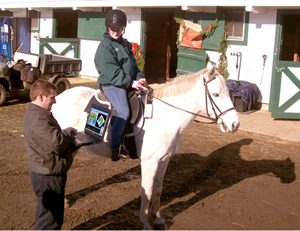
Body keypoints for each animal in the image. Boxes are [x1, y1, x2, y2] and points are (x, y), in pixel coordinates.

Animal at [51, 66, 239, 230]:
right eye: (216, 94)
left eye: (229, 93)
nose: (235, 124)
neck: (164, 117)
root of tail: (59, 97)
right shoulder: (150, 162)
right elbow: (147, 192)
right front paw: (146, 223)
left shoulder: (164, 160)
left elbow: (157, 190)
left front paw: (158, 219)